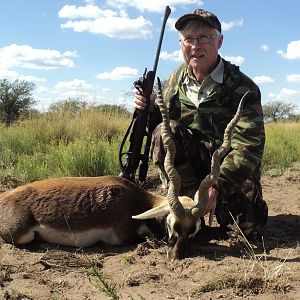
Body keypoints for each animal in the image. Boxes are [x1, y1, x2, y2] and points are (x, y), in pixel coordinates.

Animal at [0, 82, 246, 260]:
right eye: (171, 226)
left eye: (193, 230)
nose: (176, 257)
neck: (140, 202)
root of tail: (5, 197)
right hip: (22, 234)